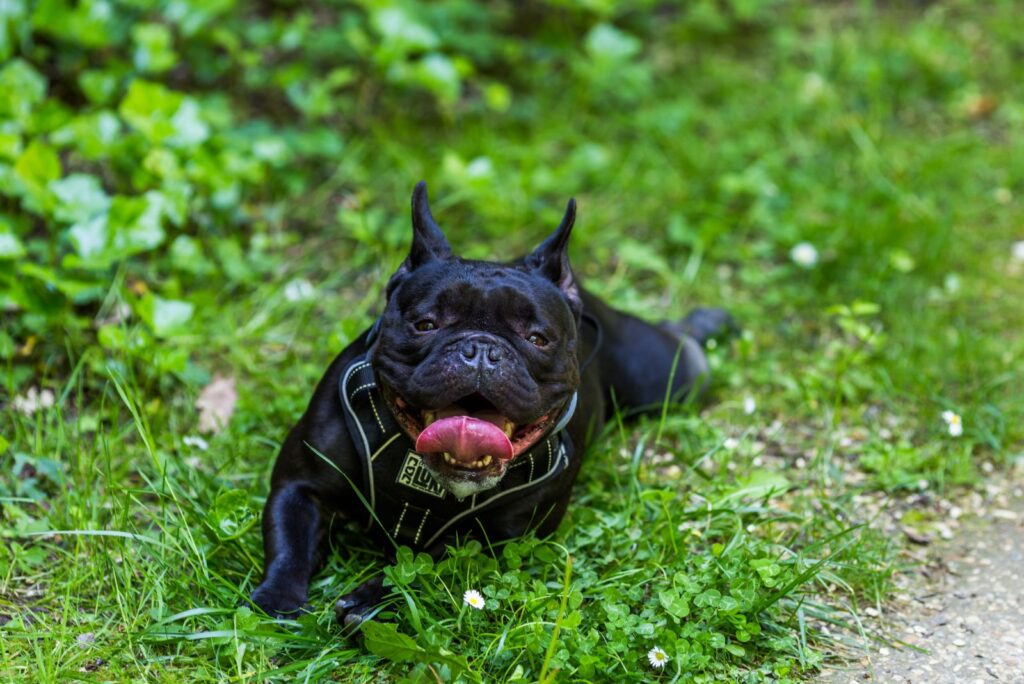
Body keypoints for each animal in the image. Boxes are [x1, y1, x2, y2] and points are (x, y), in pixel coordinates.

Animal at [251, 183, 733, 626]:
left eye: (537, 338)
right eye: (425, 324)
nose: (481, 349)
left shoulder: (497, 539)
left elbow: (427, 562)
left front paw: (372, 599)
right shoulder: (301, 484)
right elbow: (290, 539)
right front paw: (278, 598)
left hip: (665, 376)